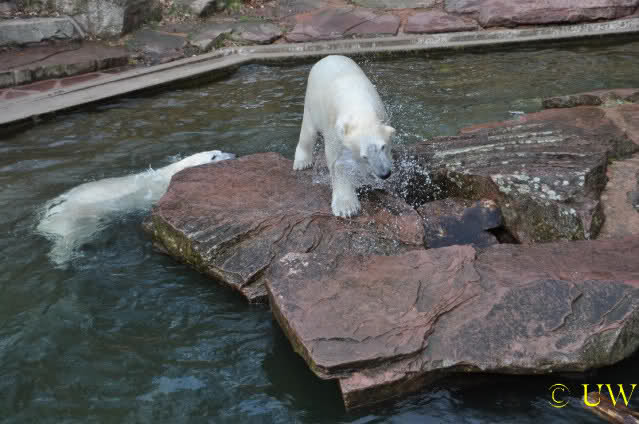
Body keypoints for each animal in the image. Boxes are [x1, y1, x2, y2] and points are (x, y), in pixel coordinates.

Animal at [37, 150, 235, 265]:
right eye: (214, 156)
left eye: (219, 151)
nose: (232, 155)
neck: (168, 174)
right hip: (79, 217)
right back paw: (62, 257)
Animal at [293, 55, 395, 218]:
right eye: (364, 156)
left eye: (383, 147)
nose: (385, 174)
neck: (359, 107)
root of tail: (328, 57)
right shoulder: (335, 130)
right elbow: (338, 164)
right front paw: (347, 208)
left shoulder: (382, 114)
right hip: (312, 101)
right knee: (308, 131)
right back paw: (302, 162)